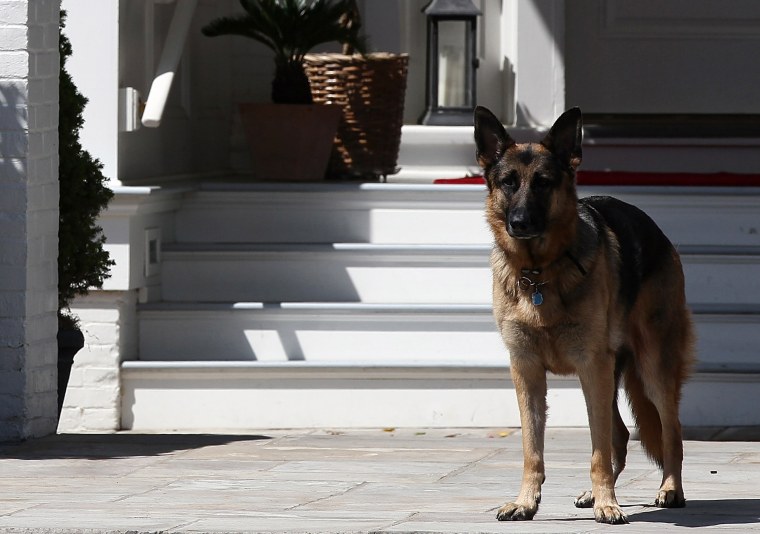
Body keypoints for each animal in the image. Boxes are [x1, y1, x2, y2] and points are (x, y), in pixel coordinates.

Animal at [476, 107, 696, 524]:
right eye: (509, 183)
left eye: (543, 183)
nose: (519, 223)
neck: (538, 272)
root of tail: (656, 230)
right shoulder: (527, 371)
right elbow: (532, 449)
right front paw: (526, 502)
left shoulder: (592, 366)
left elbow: (599, 452)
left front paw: (607, 504)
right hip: (605, 375)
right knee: (622, 435)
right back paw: (596, 493)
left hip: (650, 369)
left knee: (670, 432)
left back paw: (669, 490)